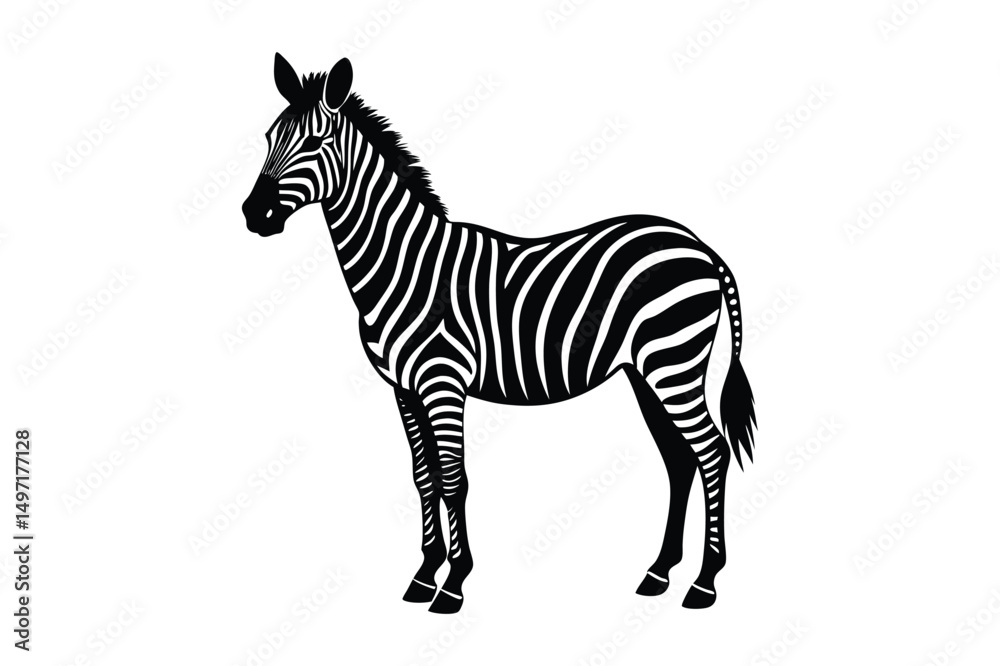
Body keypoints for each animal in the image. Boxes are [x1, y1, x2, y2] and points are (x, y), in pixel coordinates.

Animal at [242, 54, 757, 615]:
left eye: (315, 142)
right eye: (268, 137)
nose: (253, 214)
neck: (403, 265)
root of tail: (700, 245)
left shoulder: (443, 382)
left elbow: (452, 477)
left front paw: (453, 584)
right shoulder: (403, 389)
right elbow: (424, 478)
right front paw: (424, 575)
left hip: (673, 363)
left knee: (711, 453)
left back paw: (704, 583)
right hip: (647, 373)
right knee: (680, 460)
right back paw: (659, 573)